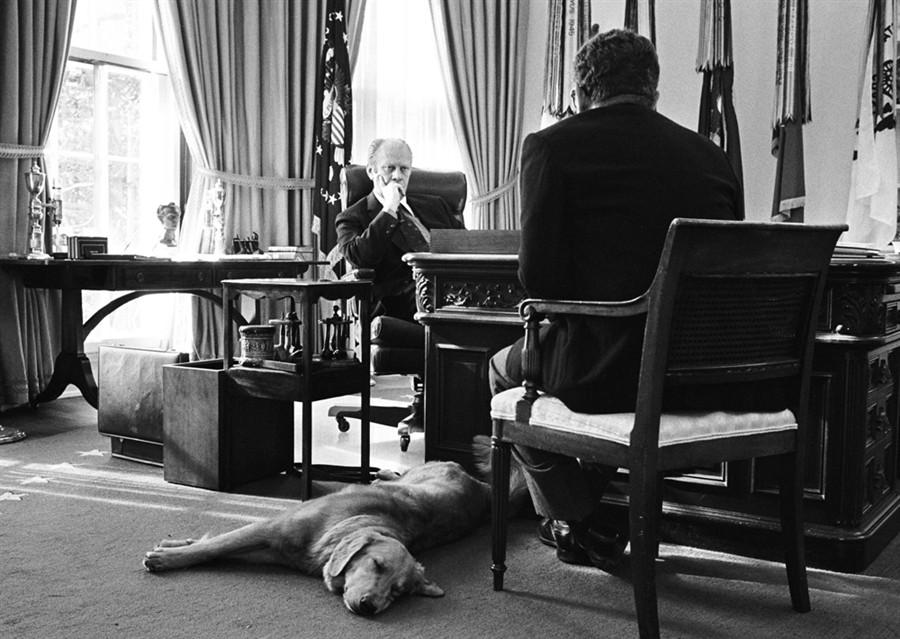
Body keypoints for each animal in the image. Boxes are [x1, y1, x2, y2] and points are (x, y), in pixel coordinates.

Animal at [144, 458, 528, 616]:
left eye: (398, 592)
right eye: (376, 564)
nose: (371, 607)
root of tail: (487, 493)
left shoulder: (275, 544)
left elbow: (216, 546)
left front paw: (174, 549)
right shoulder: (270, 529)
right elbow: (215, 544)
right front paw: (172, 553)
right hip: (423, 471)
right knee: (399, 473)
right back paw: (382, 472)